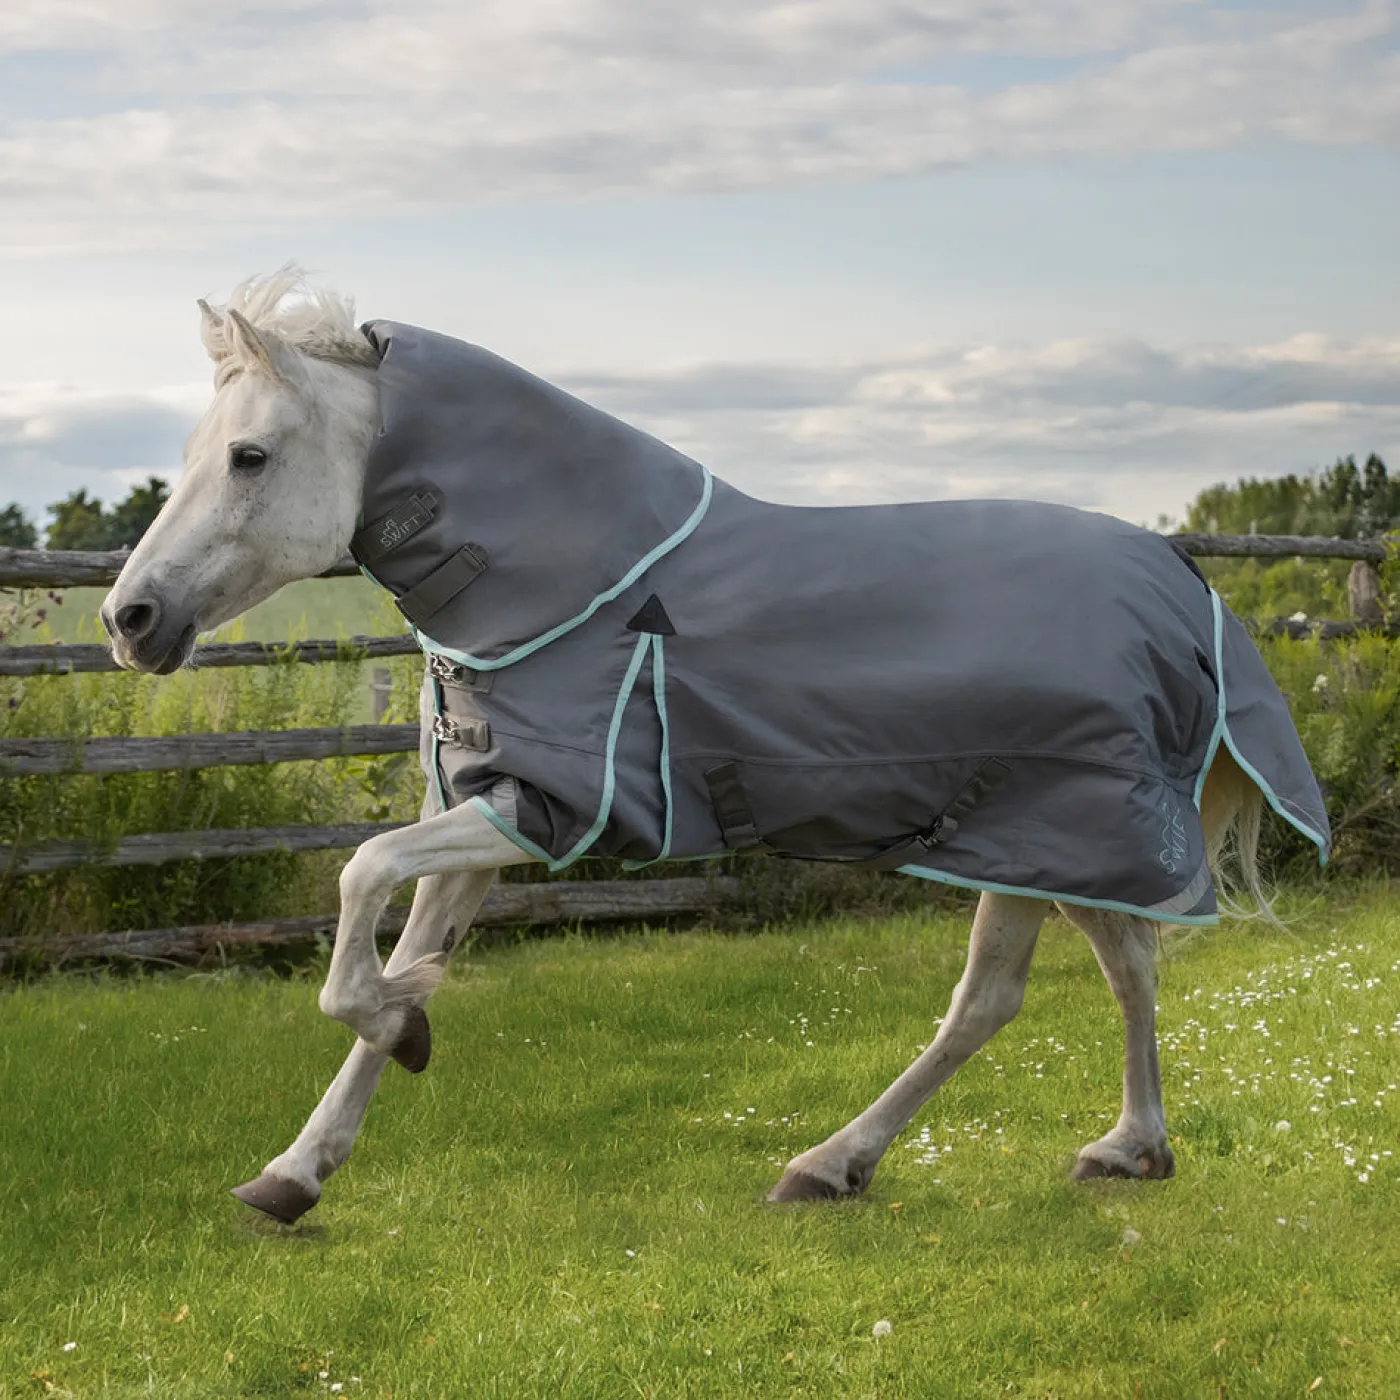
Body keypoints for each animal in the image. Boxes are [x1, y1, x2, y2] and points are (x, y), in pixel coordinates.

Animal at [101, 269, 1328, 1225]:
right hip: (1045, 841)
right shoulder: (489, 809)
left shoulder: (544, 808)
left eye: (249, 455)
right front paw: (297, 1169)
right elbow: (401, 948)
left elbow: (359, 887)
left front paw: (398, 1031)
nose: (131, 619)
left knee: (1001, 997)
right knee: (1111, 972)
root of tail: (1179, 580)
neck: (582, 586)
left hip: (1048, 828)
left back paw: (833, 1163)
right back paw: (1120, 1149)